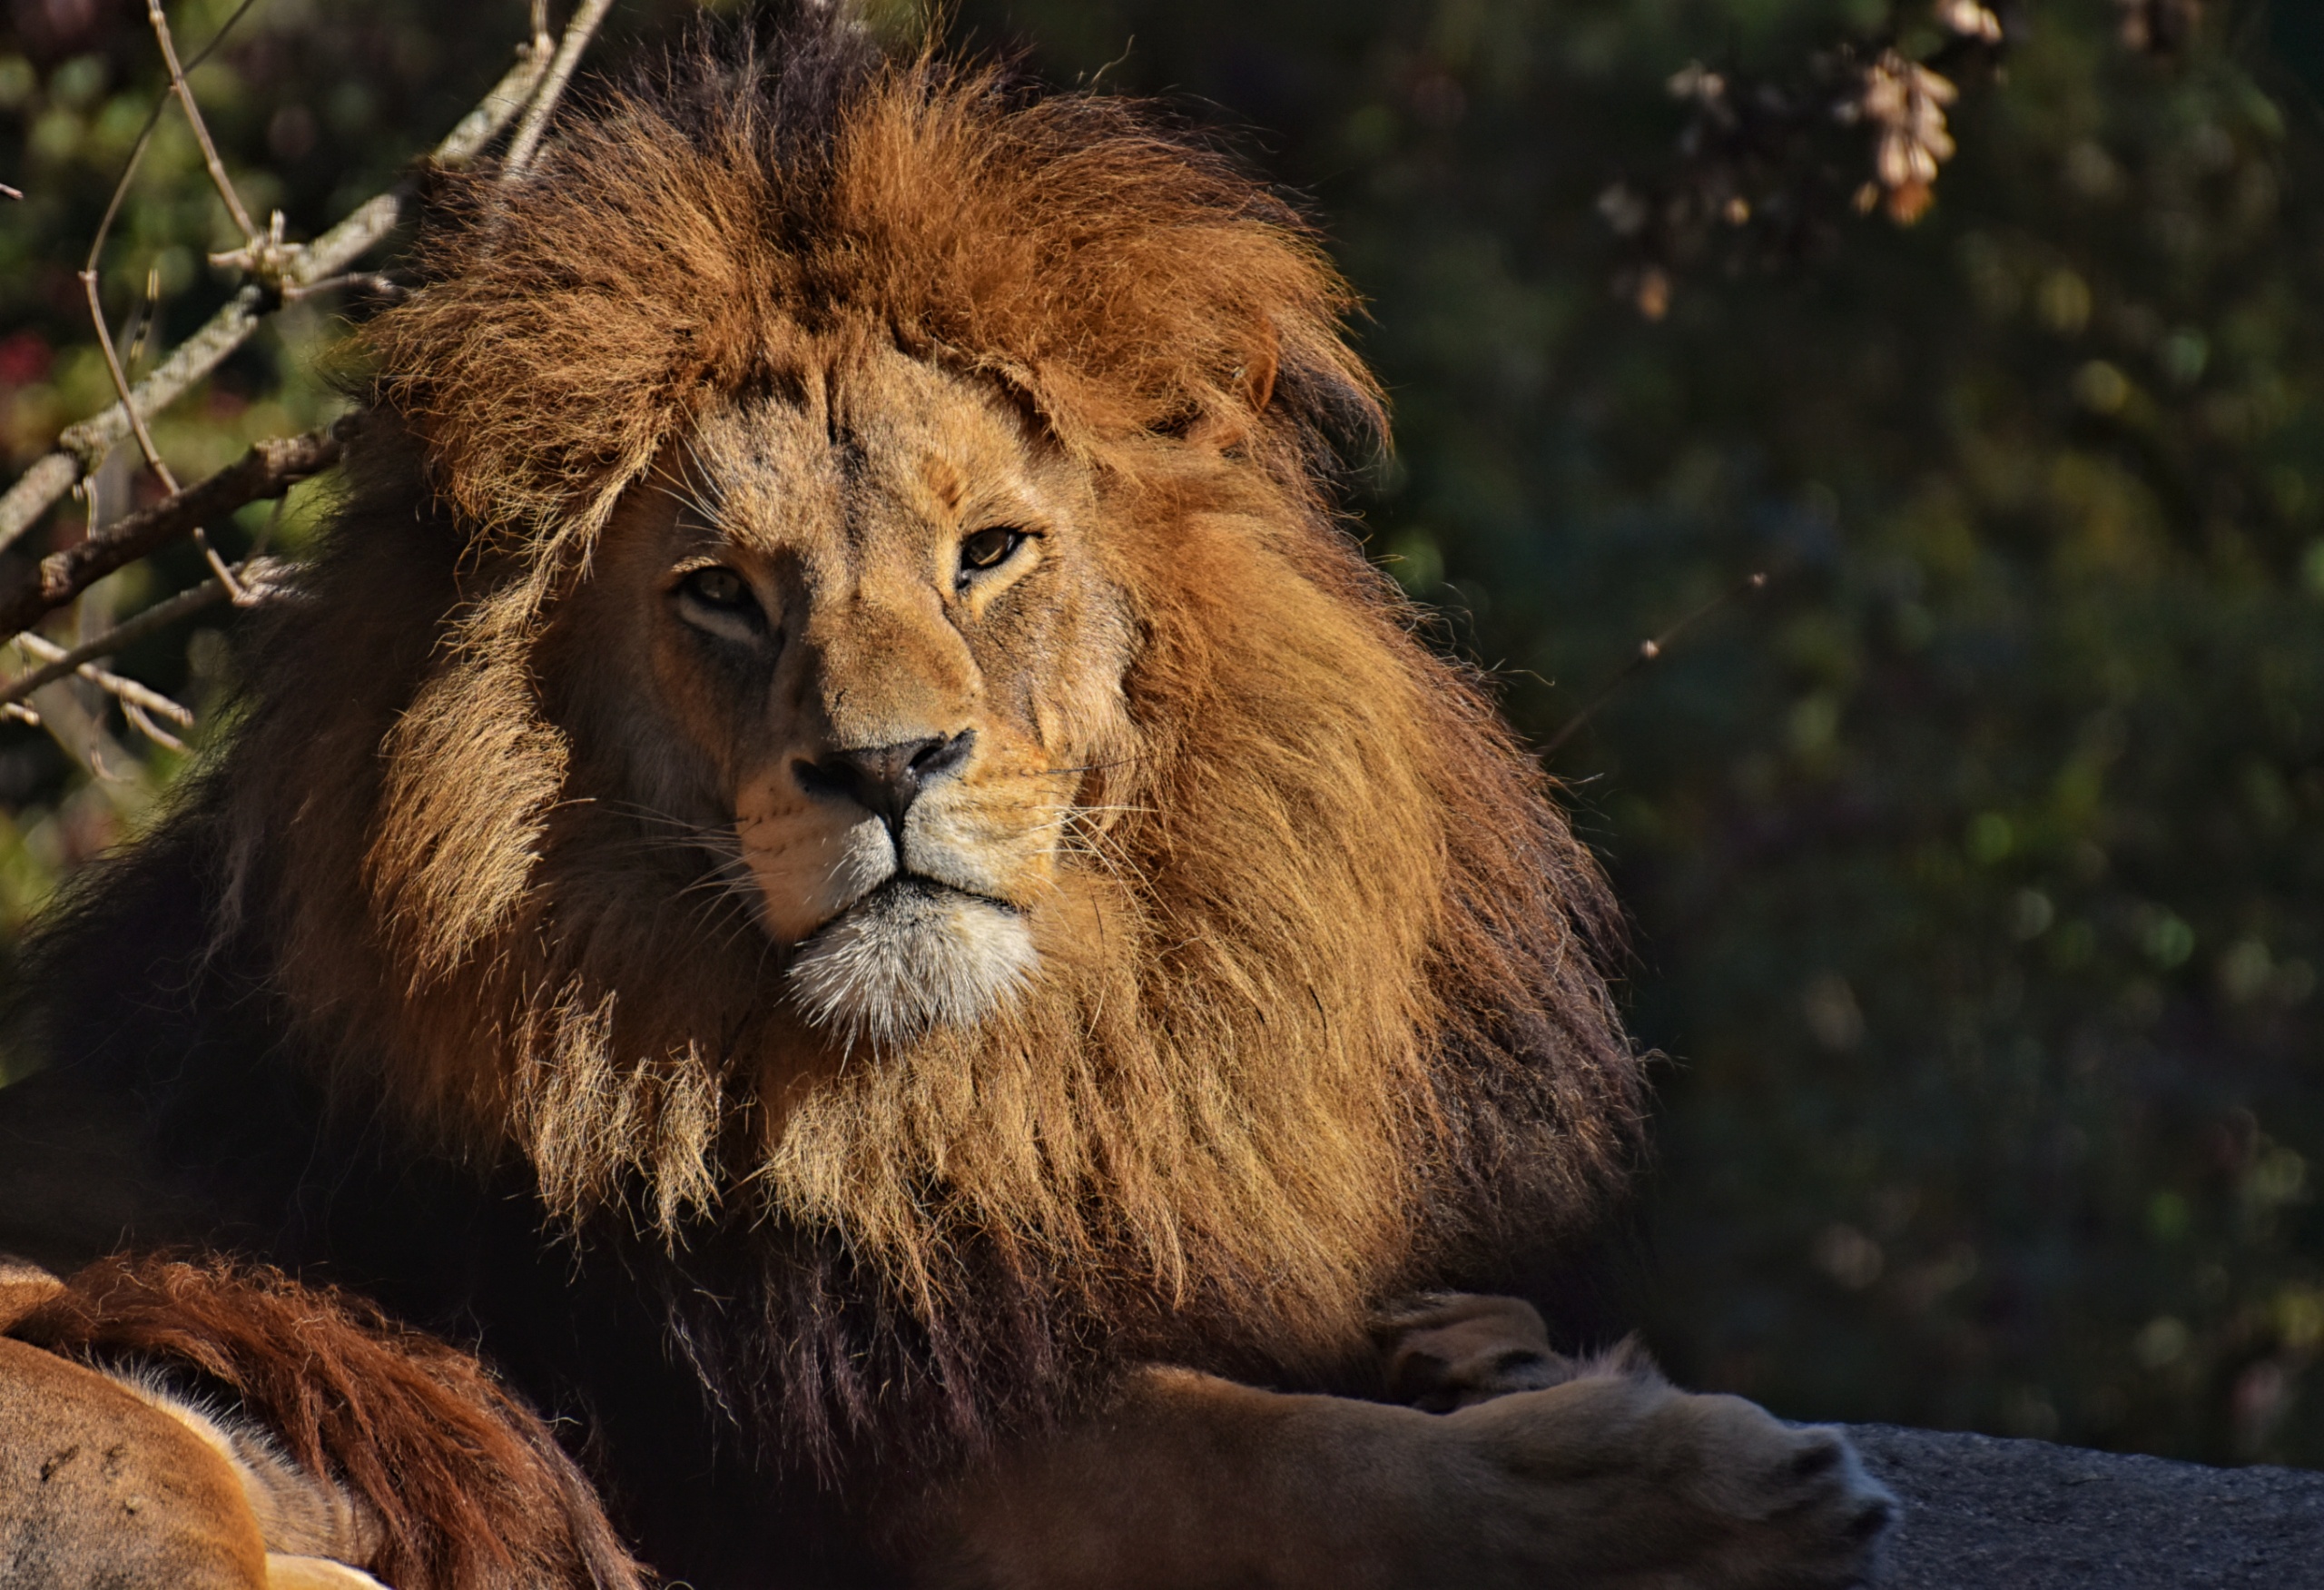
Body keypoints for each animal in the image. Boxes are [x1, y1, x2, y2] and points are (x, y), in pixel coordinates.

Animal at [0, 12, 1886, 1590]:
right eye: (722, 595)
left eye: (986, 552)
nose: (889, 764)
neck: (988, 1091)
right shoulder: (868, 1457)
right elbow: (1283, 1462)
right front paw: (1704, 1489)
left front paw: (1480, 1345)